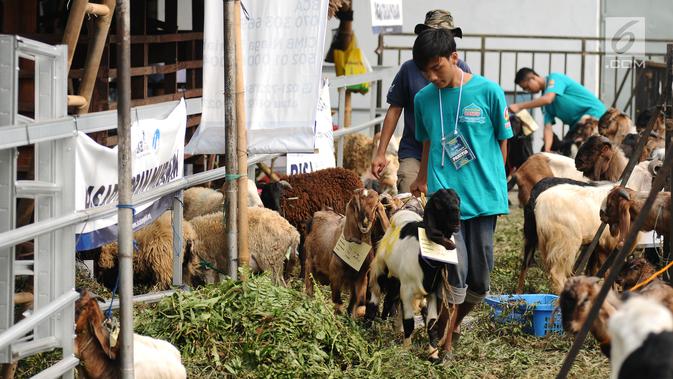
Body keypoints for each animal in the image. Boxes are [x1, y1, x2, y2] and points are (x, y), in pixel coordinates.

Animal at [304, 190, 388, 318]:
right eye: (357, 205)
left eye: (376, 205)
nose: (365, 224)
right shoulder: (335, 273)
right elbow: (337, 301)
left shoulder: (361, 277)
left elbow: (357, 304)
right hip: (309, 261)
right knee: (309, 285)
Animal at [364, 190, 460, 362]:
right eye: (438, 204)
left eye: (458, 200)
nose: (456, 216)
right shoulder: (407, 291)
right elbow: (409, 322)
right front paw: (406, 351)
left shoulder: (432, 293)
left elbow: (432, 324)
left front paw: (433, 355)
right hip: (380, 270)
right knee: (374, 297)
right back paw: (367, 327)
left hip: (398, 281)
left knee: (393, 301)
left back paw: (396, 329)